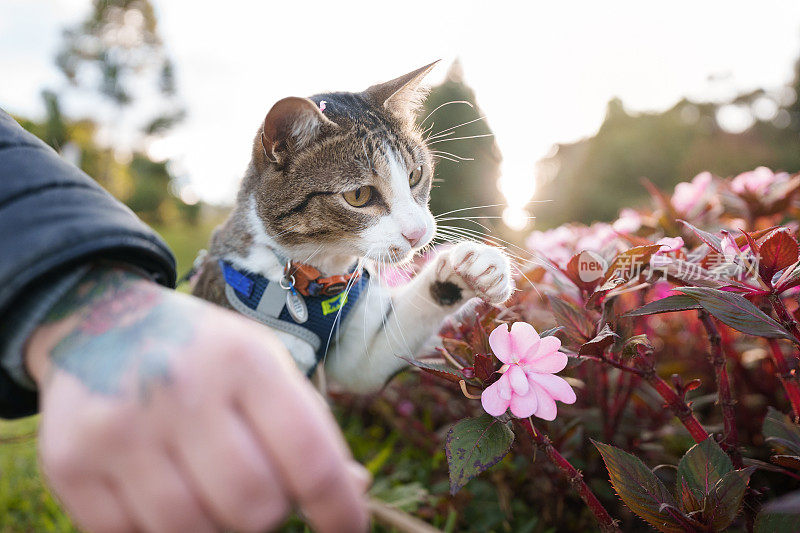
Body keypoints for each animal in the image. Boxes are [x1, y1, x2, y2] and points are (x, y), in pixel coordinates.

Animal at [192, 63, 512, 390]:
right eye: (358, 195)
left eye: (415, 174)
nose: (418, 232)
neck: (320, 272)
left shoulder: (354, 353)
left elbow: (366, 368)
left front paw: (474, 269)